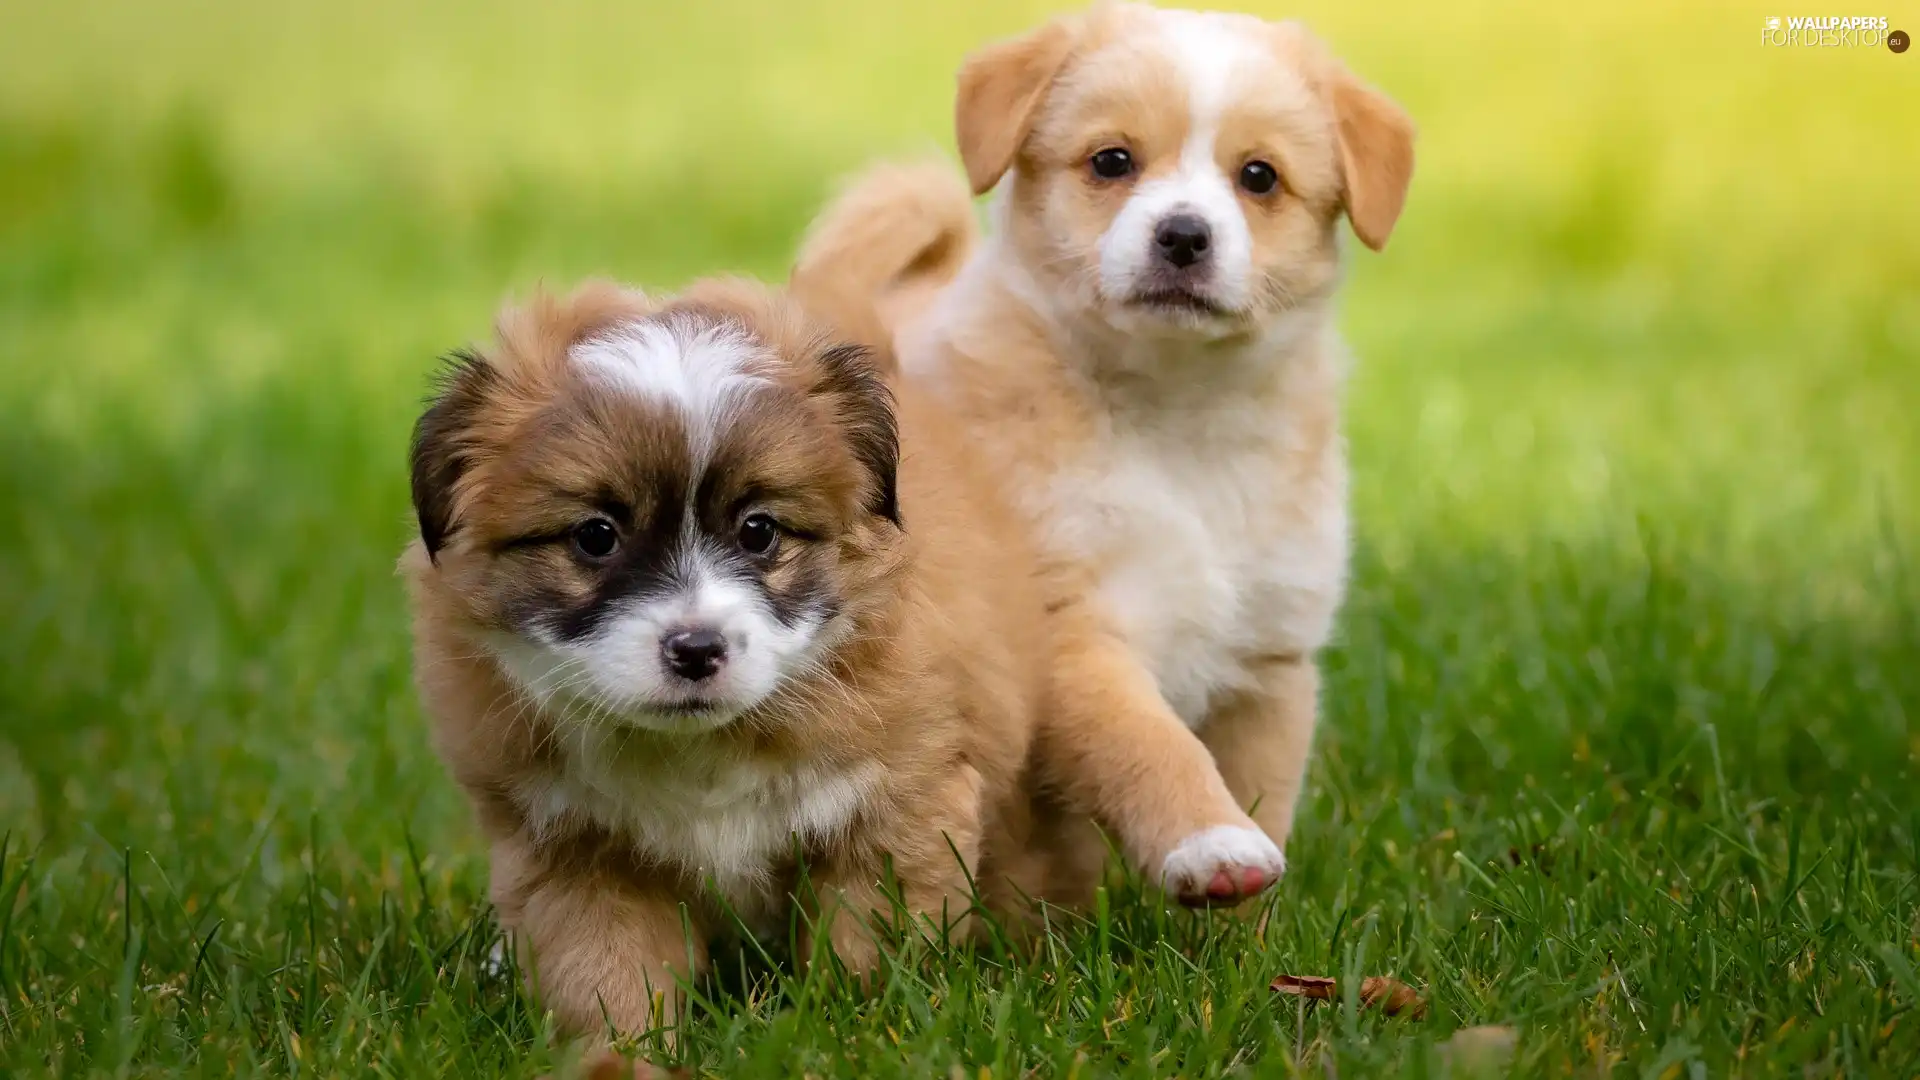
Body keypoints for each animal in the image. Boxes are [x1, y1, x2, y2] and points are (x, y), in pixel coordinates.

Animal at [403, 274, 1082, 1037]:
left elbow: (865, 949)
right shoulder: (576, 848)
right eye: (596, 536)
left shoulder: (898, 809)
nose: (696, 649)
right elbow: (606, 972)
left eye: (759, 531)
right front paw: (623, 1049)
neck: (703, 749)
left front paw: (854, 1026)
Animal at [794, 0, 1413, 903]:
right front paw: (1210, 842)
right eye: (1112, 161)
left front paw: (1252, 922)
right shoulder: (1071, 633)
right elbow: (1149, 745)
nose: (1184, 235)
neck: (1176, 425)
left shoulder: (1267, 662)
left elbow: (1264, 797)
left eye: (1259, 177)